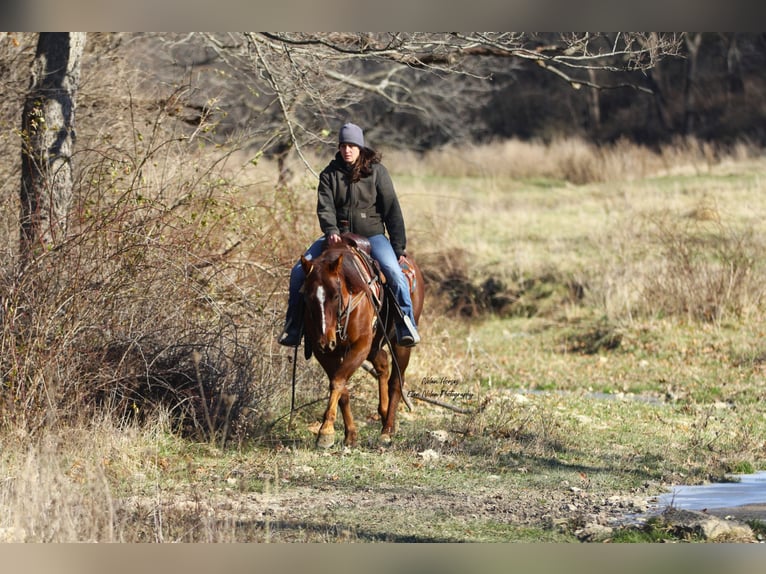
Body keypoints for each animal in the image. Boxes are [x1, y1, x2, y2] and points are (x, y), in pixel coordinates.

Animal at [302, 236, 426, 448]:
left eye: (335, 295)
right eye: (308, 298)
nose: (325, 341)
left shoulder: (360, 346)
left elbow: (338, 382)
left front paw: (325, 432)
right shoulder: (324, 353)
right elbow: (342, 388)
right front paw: (350, 435)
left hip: (400, 345)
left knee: (396, 382)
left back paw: (387, 430)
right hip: (374, 346)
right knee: (383, 364)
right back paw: (383, 414)